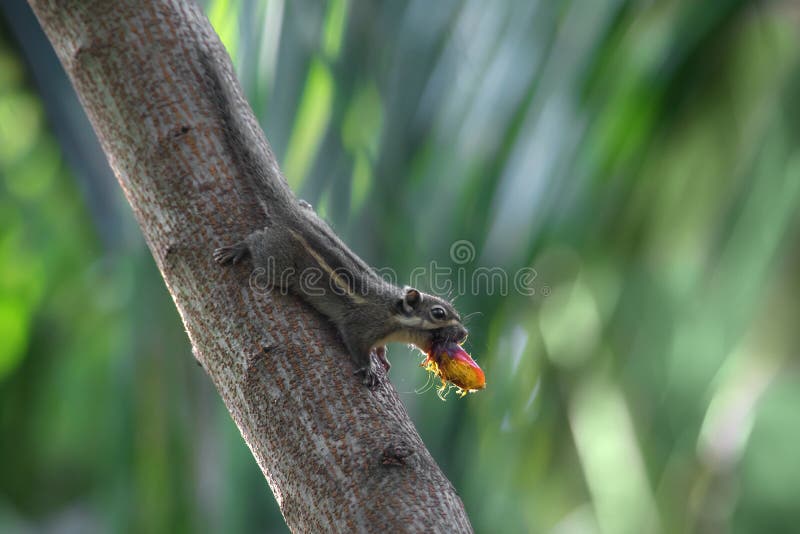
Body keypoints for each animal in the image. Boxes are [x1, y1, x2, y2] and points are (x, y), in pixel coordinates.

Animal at [213, 200, 468, 388]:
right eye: (438, 313)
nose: (464, 334)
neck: (392, 315)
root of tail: (294, 216)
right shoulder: (360, 326)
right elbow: (356, 345)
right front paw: (369, 368)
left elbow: (380, 348)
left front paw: (383, 357)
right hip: (278, 264)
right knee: (256, 241)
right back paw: (238, 248)